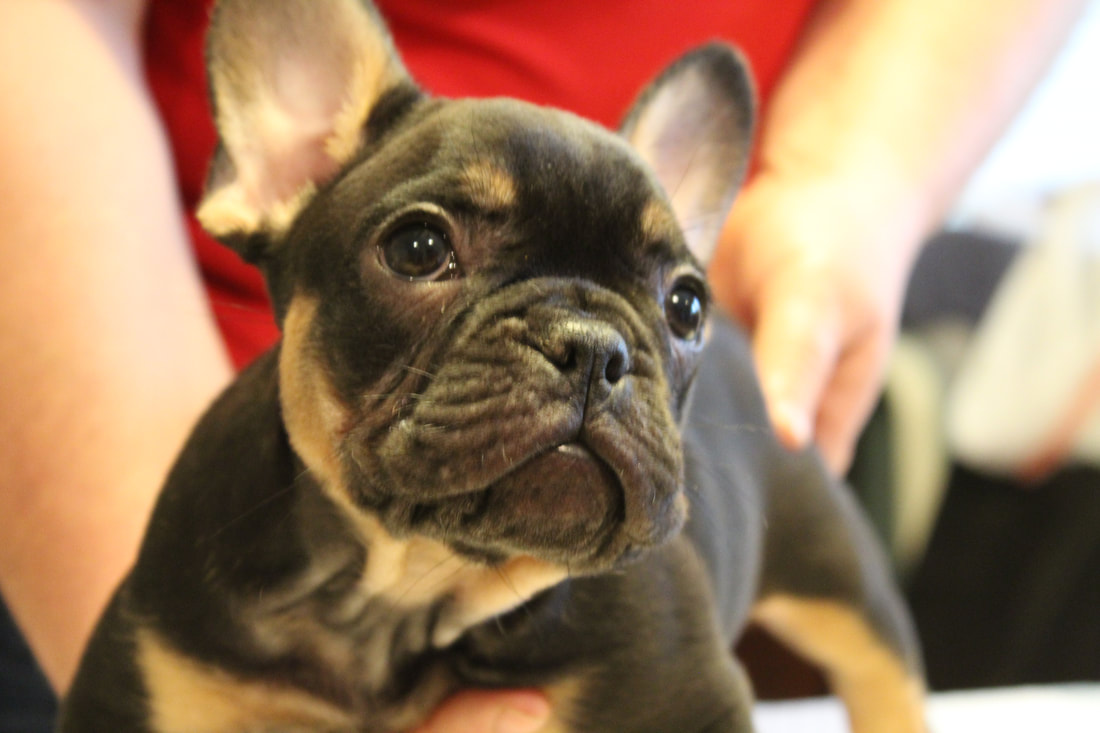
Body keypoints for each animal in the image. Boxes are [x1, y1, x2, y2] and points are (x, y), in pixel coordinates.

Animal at [60, 1, 928, 730]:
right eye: (418, 248)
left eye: (685, 305)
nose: (593, 346)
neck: (408, 590)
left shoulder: (685, 695)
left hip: (839, 574)